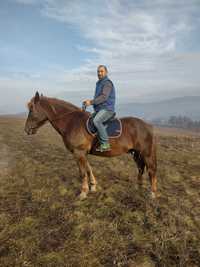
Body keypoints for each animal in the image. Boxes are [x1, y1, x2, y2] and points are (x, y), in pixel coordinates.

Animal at [24, 92, 157, 201]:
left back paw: (152, 193)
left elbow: (82, 172)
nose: (26, 130)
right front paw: (93, 186)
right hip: (136, 153)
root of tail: (147, 125)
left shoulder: (78, 152)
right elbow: (88, 169)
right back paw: (138, 188)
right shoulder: (83, 153)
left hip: (146, 153)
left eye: (32, 109)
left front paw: (83, 193)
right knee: (140, 168)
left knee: (151, 170)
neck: (71, 122)